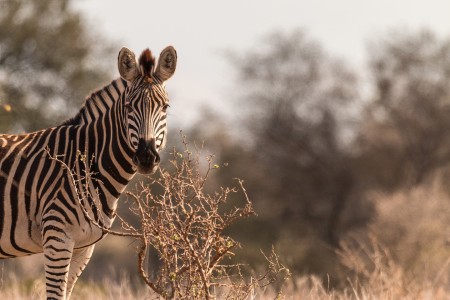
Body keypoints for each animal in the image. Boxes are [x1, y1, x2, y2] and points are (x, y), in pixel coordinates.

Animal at [0, 45, 178, 298]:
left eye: (165, 107)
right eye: (128, 107)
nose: (146, 157)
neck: (86, 163)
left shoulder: (83, 247)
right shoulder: (57, 237)